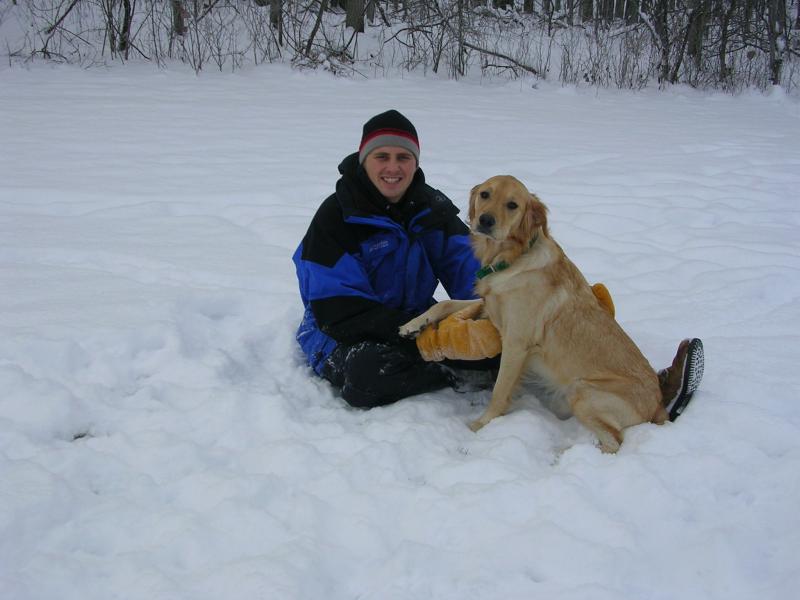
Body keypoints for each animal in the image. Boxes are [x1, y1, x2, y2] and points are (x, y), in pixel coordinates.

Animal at [400, 176, 668, 452]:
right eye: (485, 194)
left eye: (512, 205)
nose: (485, 220)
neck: (511, 259)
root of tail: (659, 403)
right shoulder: (488, 307)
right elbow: (445, 304)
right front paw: (414, 325)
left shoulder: (516, 344)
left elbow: (499, 393)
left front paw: (479, 426)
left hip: (581, 391)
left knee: (614, 442)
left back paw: (564, 454)